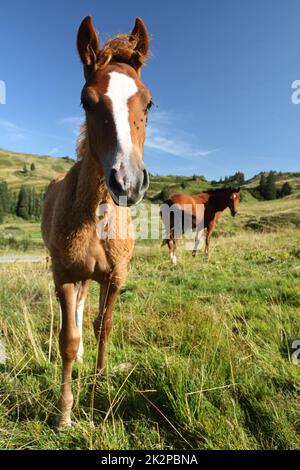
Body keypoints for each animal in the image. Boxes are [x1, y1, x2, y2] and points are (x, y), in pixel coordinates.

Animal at [41, 17, 152, 430]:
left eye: (148, 102)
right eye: (87, 101)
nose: (128, 181)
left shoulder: (116, 275)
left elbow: (103, 324)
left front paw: (102, 375)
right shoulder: (64, 274)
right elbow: (67, 338)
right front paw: (63, 414)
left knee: (85, 307)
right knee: (71, 313)